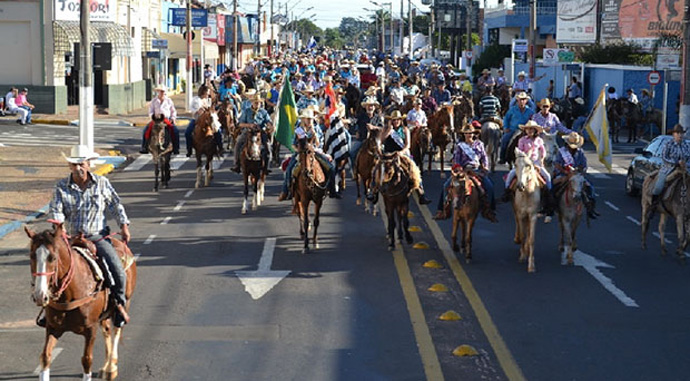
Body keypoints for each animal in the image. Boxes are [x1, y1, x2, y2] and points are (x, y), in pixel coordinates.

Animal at [25, 223, 136, 380]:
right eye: (31, 256)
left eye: (53, 258)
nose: (40, 296)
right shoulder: (52, 327)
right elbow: (45, 357)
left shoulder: (90, 329)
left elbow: (87, 360)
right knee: (107, 331)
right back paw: (106, 365)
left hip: (124, 304)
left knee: (117, 330)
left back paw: (111, 368)